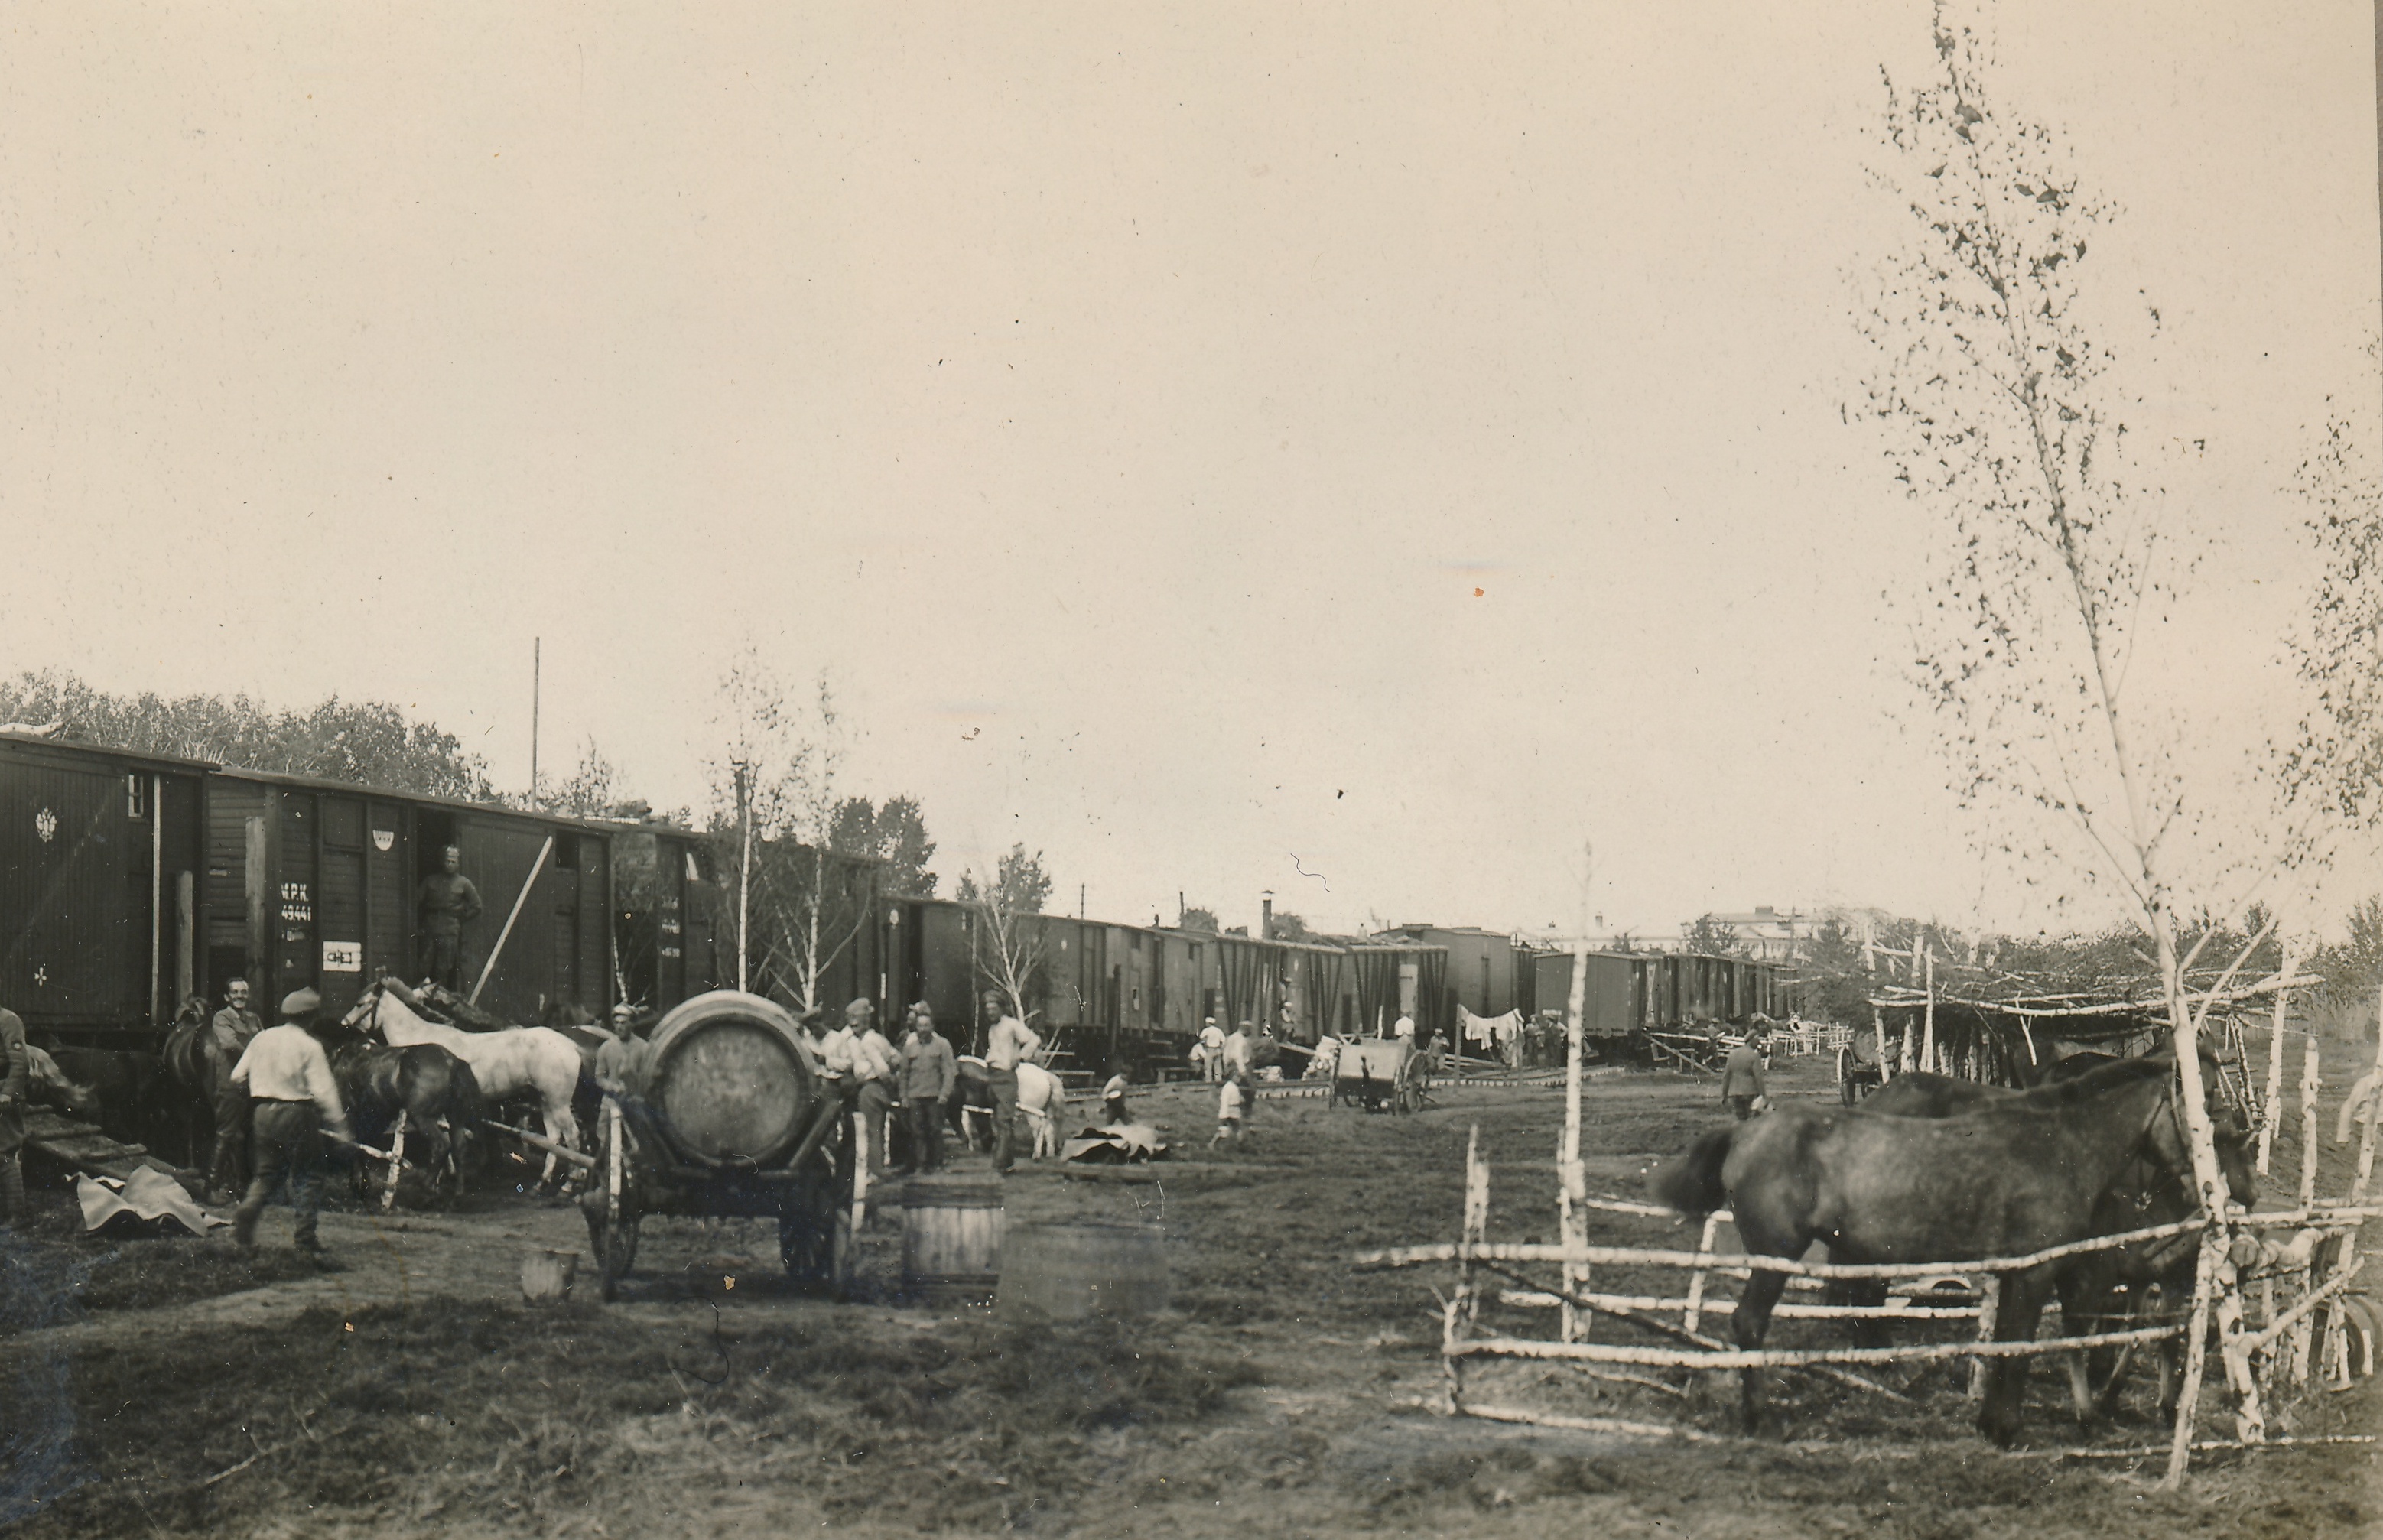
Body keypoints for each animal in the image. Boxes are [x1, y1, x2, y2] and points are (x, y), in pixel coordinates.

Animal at [343, 979, 584, 1187]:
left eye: (360, 1004)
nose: (344, 1025)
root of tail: (572, 1046)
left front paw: (442, 1175)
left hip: (558, 1103)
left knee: (573, 1137)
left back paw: (570, 1184)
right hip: (546, 1101)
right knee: (554, 1138)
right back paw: (541, 1183)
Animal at [1650, 1054, 2202, 1445]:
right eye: (2202, 1107)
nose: (2203, 1189)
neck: (2054, 1146)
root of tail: (1746, 1131)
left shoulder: (2012, 1273)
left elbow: (2004, 1341)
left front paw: (1990, 1422)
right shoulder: (2034, 1273)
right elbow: (2021, 1346)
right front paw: (2008, 1429)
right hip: (1775, 1259)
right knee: (1751, 1324)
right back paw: (1762, 1419)